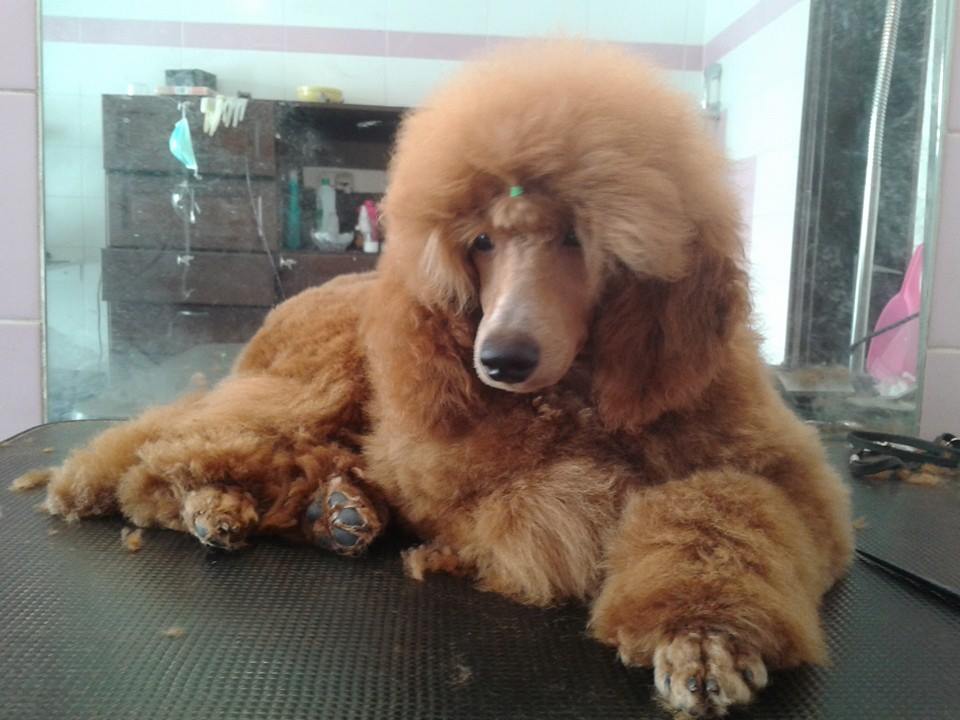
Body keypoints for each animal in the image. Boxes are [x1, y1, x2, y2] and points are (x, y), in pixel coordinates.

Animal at [15, 41, 852, 717]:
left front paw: (705, 636)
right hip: (310, 388)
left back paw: (324, 509)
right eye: (480, 242)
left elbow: (723, 511)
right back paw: (193, 499)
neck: (578, 395)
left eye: (578, 238)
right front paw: (697, 635)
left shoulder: (787, 485)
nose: (500, 359)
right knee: (162, 454)